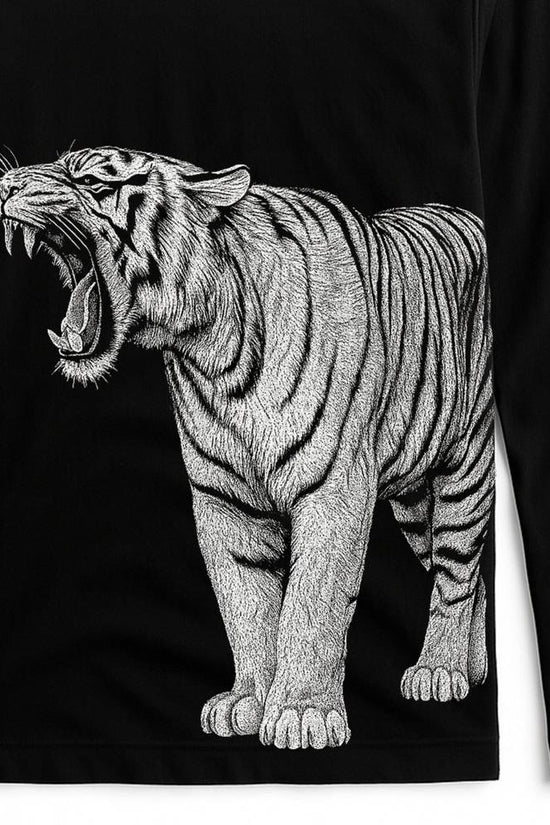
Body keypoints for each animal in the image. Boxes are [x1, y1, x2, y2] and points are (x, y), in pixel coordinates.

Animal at [0, 146, 494, 750]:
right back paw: (472, 669)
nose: (4, 184)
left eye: (91, 180)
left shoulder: (335, 490)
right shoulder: (225, 502)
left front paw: (303, 714)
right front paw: (248, 703)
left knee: (457, 572)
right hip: (413, 500)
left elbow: (312, 603)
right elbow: (247, 604)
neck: (211, 351)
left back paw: (439, 671)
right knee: (472, 575)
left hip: (463, 468)